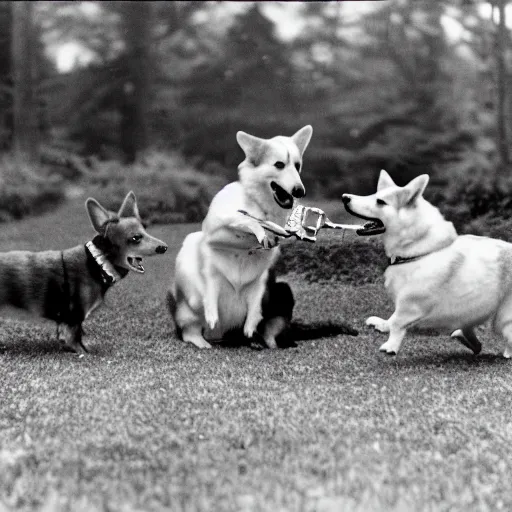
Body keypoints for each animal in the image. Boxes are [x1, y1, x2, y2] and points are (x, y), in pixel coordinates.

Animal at [0, 190, 168, 354]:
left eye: (146, 229)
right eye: (136, 238)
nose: (164, 247)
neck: (96, 263)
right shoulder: (75, 315)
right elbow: (74, 336)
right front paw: (83, 353)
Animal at [169, 125, 312, 348]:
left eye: (298, 166)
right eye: (279, 165)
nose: (300, 191)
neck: (260, 204)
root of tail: (221, 335)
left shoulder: (264, 274)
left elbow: (256, 303)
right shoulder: (213, 233)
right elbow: (245, 221)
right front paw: (256, 227)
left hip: (282, 291)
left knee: (268, 328)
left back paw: (263, 342)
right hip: (188, 299)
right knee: (191, 329)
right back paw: (203, 340)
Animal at [342, 170, 512, 358]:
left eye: (380, 201)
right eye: (373, 195)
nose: (344, 197)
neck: (419, 251)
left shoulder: (411, 305)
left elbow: (397, 323)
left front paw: (390, 346)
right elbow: (392, 319)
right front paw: (382, 325)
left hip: (503, 316)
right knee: (471, 333)